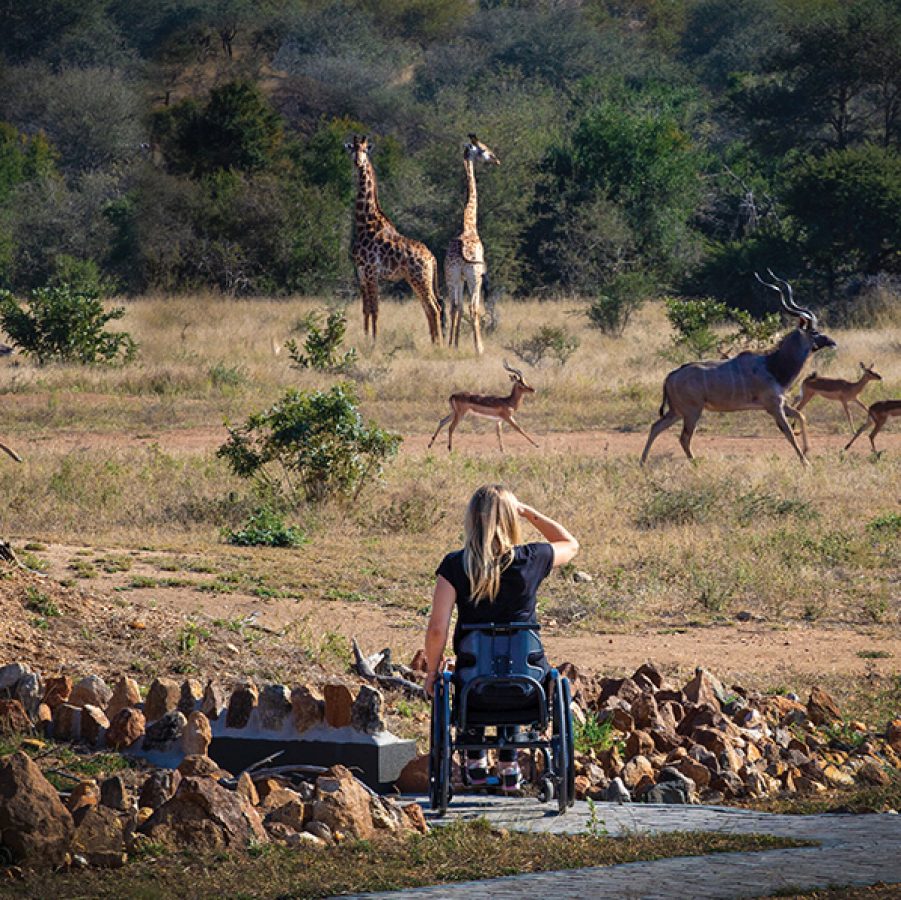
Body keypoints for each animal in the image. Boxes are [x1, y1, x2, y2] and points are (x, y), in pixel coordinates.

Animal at [344, 134, 442, 344]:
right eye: (352, 149)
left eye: (364, 150)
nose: (358, 162)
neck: (365, 221)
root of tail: (432, 258)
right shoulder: (361, 272)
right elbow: (365, 309)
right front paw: (365, 338)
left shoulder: (372, 271)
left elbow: (375, 309)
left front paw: (373, 341)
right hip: (417, 279)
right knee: (431, 308)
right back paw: (434, 342)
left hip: (420, 277)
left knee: (433, 307)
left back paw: (439, 344)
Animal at [442, 132, 500, 354]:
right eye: (483, 149)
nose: (496, 159)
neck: (469, 225)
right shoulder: (477, 274)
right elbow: (471, 307)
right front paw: (476, 347)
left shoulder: (458, 277)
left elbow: (456, 307)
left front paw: (454, 344)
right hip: (475, 276)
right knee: (473, 307)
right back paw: (479, 348)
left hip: (451, 275)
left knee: (454, 306)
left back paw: (451, 344)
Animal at [640, 270, 836, 468]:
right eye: (814, 332)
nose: (832, 341)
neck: (773, 365)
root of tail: (670, 376)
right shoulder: (774, 406)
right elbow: (788, 433)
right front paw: (806, 463)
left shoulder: (780, 404)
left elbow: (801, 416)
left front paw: (807, 450)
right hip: (692, 412)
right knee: (684, 438)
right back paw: (695, 464)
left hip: (677, 412)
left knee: (656, 427)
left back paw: (642, 463)